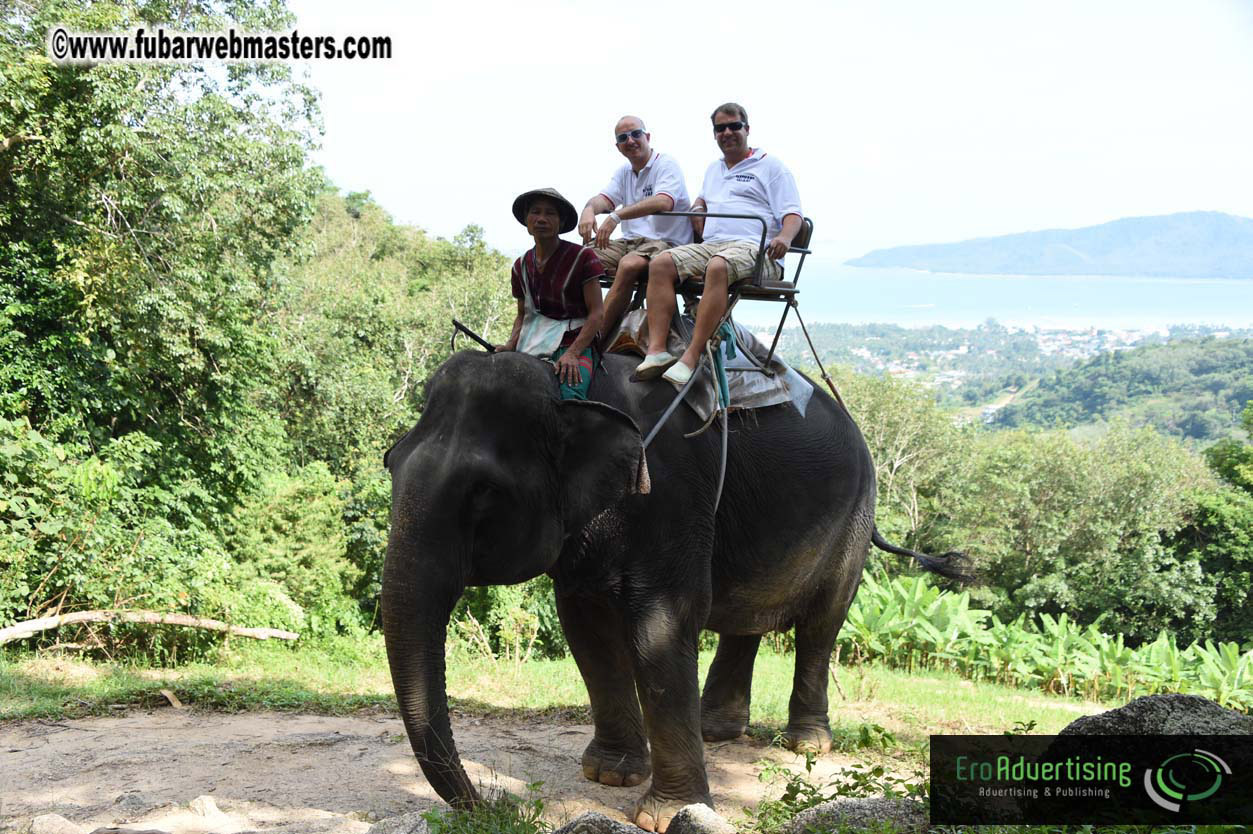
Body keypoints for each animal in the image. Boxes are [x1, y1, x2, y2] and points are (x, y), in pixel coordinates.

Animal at [381, 349, 965, 832]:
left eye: (484, 492)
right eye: (391, 462)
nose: (497, 805)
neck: (571, 386)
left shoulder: (673, 492)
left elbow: (660, 623)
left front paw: (665, 815)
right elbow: (586, 626)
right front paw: (610, 776)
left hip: (854, 521)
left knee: (821, 624)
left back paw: (805, 743)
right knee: (744, 620)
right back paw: (716, 732)